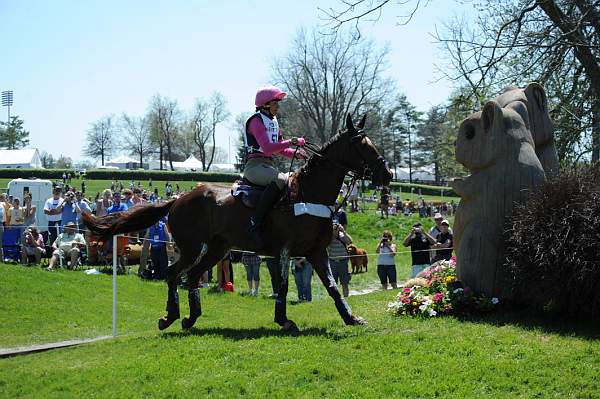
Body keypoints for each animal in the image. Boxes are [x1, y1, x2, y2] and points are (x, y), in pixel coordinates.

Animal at [84, 114, 394, 332]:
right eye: (362, 146)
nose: (388, 174)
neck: (308, 193)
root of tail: (178, 199)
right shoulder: (285, 250)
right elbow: (283, 286)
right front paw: (284, 320)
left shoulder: (317, 252)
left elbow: (332, 287)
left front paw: (351, 318)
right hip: (191, 247)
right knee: (174, 274)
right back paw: (170, 316)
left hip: (217, 249)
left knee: (193, 276)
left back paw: (190, 318)